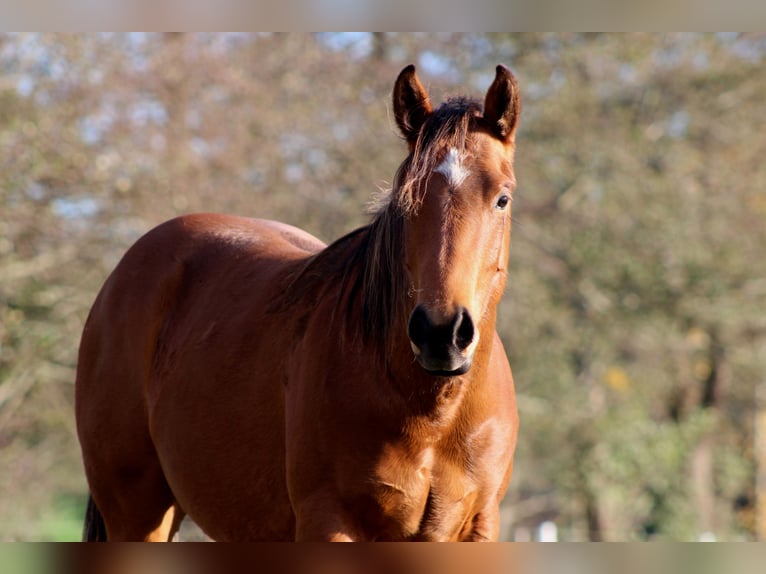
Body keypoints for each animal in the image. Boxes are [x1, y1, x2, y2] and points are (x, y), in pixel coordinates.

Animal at [75, 64, 521, 542]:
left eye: (502, 198)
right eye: (406, 201)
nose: (441, 334)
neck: (431, 415)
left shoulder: (478, 525)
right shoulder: (329, 520)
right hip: (138, 513)